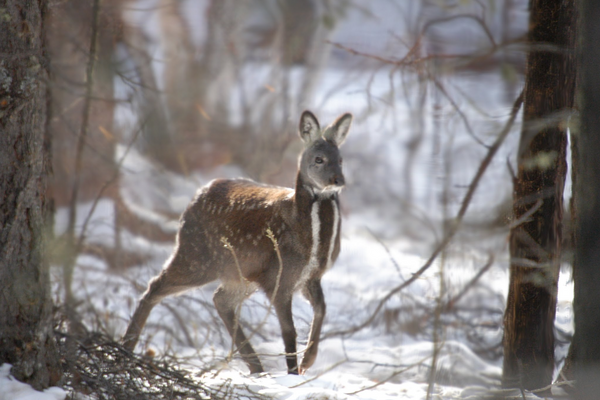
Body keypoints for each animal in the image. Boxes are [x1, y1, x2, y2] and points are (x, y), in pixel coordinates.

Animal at [123, 110, 354, 376]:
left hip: (240, 272)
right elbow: (289, 331)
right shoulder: (280, 275)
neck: (311, 243)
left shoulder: (310, 276)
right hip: (196, 255)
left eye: (341, 159)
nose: (338, 180)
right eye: (319, 159)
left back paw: (256, 367)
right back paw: (127, 346)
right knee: (155, 285)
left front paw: (308, 361)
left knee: (220, 299)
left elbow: (322, 309)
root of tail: (194, 198)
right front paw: (293, 373)